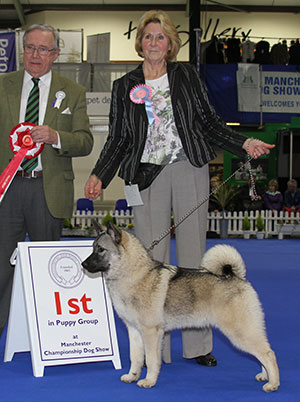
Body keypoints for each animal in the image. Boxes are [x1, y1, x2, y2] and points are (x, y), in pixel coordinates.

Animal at [81, 221, 278, 392]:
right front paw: (132, 376)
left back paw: (273, 383)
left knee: (268, 353)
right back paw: (264, 376)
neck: (134, 274)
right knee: (262, 353)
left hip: (240, 331)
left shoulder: (151, 332)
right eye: (92, 247)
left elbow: (151, 359)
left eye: (101, 249)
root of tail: (236, 277)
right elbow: (135, 357)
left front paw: (149, 381)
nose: (83, 264)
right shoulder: (134, 331)